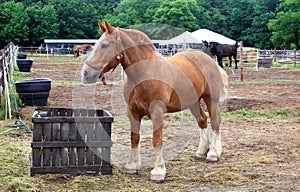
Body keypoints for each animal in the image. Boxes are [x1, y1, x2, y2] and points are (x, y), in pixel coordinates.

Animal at [81, 20, 229, 182]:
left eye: (105, 45)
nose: (86, 73)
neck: (144, 72)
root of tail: (211, 61)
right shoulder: (133, 112)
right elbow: (134, 138)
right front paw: (132, 165)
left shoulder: (157, 112)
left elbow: (157, 140)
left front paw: (158, 171)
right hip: (193, 102)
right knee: (202, 120)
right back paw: (202, 151)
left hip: (210, 99)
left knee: (215, 121)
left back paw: (213, 153)